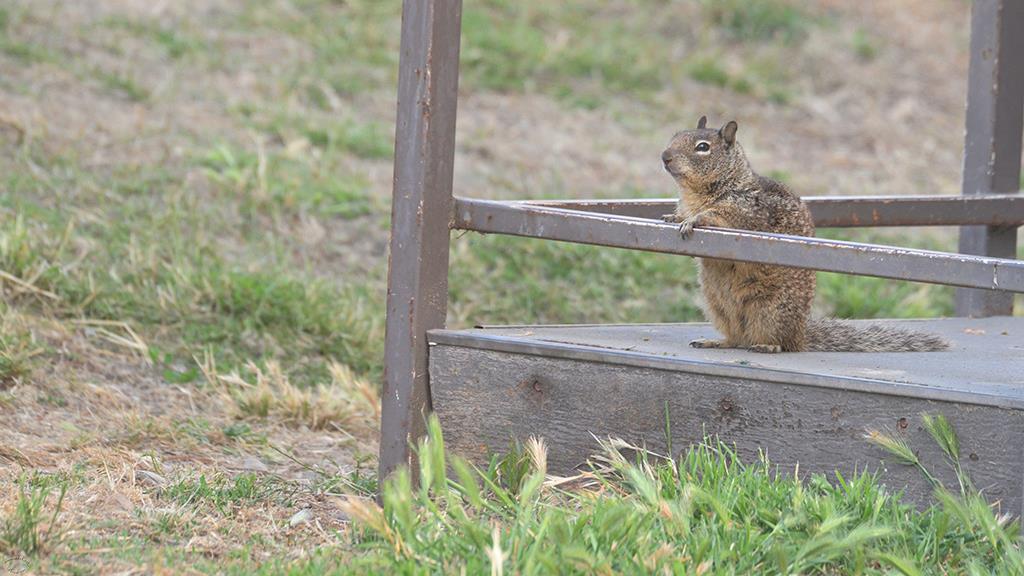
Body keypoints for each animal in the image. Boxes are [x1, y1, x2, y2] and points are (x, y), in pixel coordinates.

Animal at [659, 114, 946, 352]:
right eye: (675, 135)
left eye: (703, 147)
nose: (664, 156)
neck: (697, 194)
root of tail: (800, 335)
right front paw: (674, 217)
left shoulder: (746, 211)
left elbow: (718, 217)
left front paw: (694, 220)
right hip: (718, 308)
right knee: (736, 339)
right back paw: (715, 341)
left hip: (769, 311)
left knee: (775, 342)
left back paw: (768, 346)